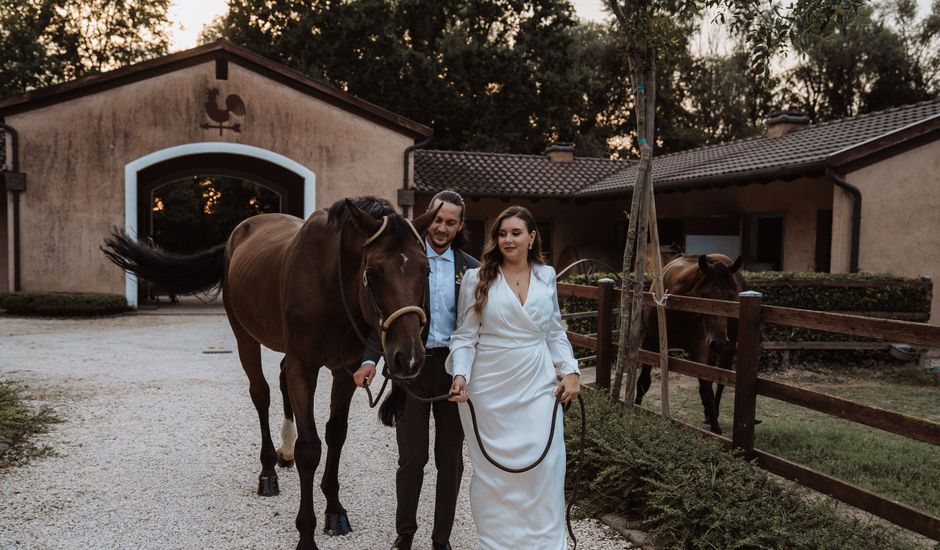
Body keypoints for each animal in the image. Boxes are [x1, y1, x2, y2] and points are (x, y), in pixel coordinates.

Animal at [103, 196, 436, 548]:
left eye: (426, 269)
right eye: (373, 272)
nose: (409, 358)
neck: (330, 285)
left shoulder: (345, 371)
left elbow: (336, 434)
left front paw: (334, 511)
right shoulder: (303, 366)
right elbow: (310, 447)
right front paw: (306, 534)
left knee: (280, 381)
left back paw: (284, 452)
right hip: (245, 337)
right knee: (260, 394)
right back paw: (268, 473)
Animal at [636, 254, 744, 436]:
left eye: (731, 297)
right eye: (704, 295)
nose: (719, 342)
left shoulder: (700, 348)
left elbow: (707, 388)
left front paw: (716, 428)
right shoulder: (650, 341)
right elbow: (643, 381)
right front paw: (634, 408)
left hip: (727, 350)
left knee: (720, 381)